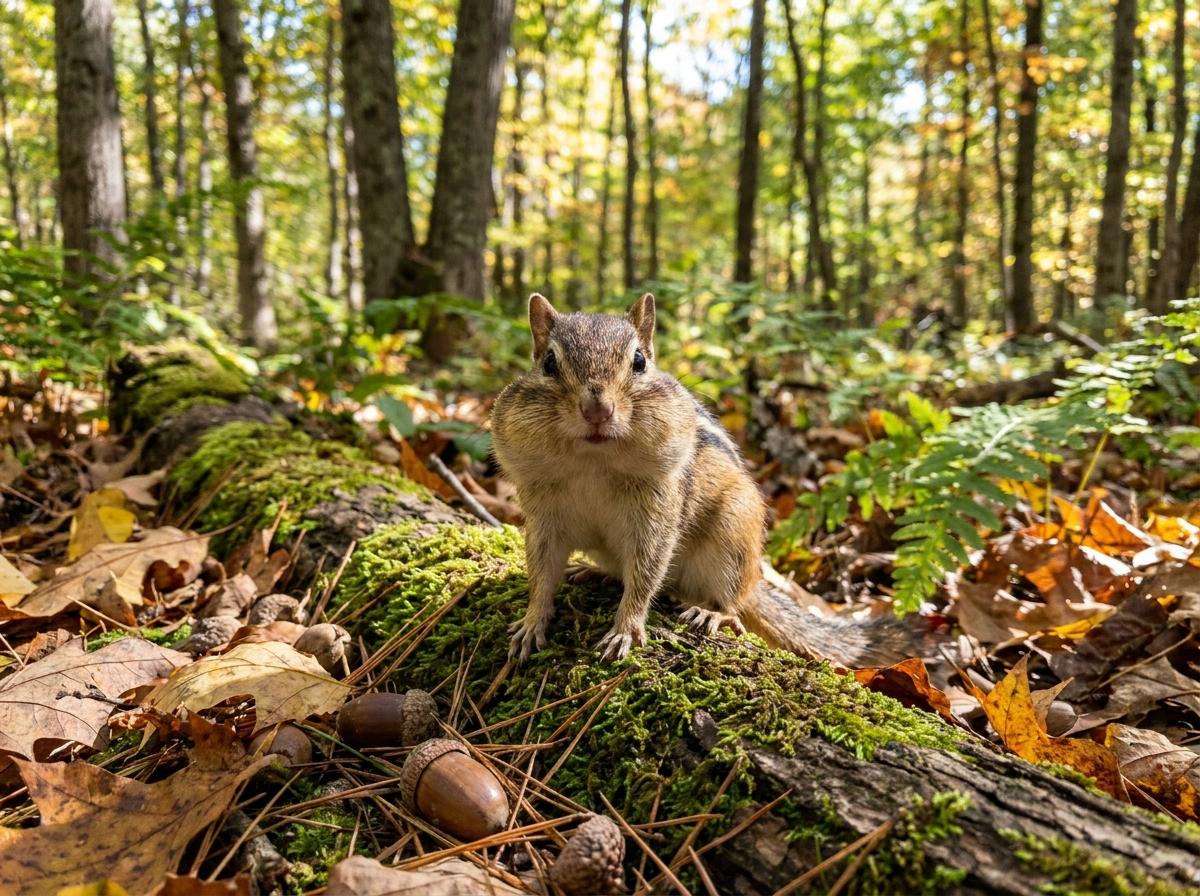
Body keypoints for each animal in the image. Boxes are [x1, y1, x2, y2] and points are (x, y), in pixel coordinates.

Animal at [491, 292, 910, 666]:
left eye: (639, 361)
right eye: (549, 362)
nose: (597, 410)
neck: (593, 461)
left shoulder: (656, 512)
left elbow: (645, 573)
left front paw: (626, 628)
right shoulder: (545, 517)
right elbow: (541, 573)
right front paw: (532, 621)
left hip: (734, 535)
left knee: (734, 602)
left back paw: (713, 612)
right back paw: (592, 571)